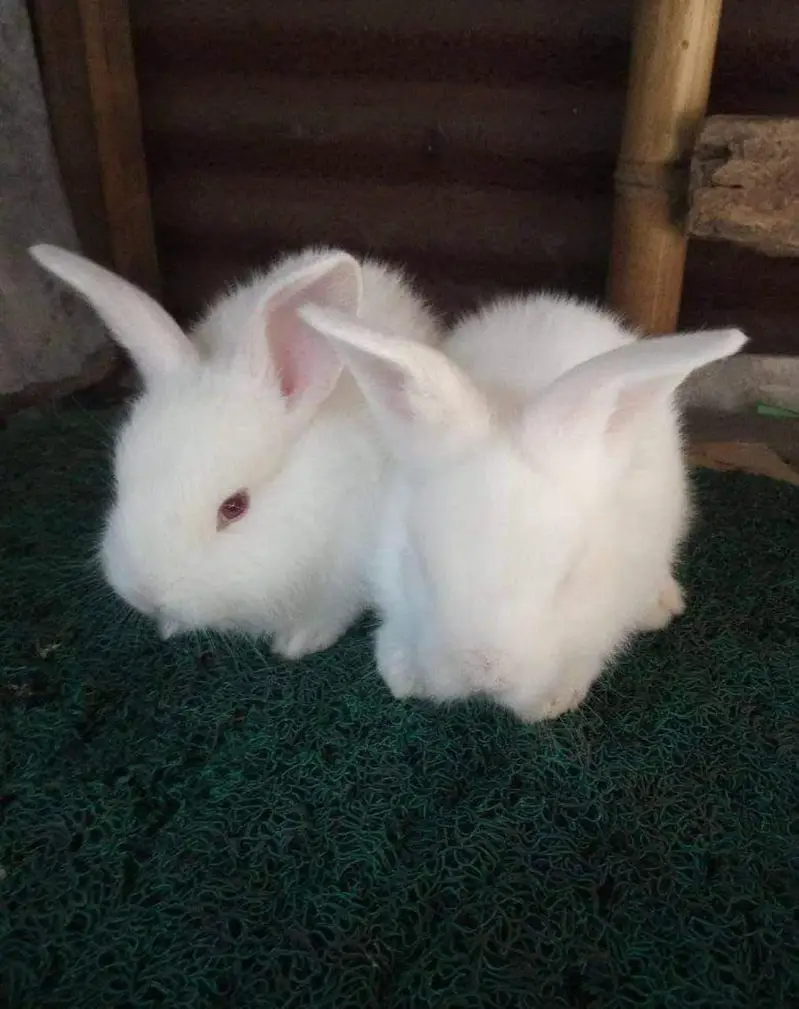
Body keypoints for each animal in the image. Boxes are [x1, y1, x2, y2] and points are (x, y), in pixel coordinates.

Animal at [29, 243, 441, 658]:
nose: (146, 595)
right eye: (120, 483)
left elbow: (330, 612)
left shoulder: (345, 571)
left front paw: (297, 643)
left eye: (234, 507)